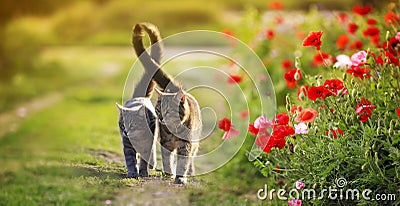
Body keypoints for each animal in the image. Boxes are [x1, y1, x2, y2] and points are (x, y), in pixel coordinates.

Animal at [115, 25, 162, 178]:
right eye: (122, 125)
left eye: (133, 125)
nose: (126, 132)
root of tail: (140, 97)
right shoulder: (127, 145)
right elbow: (130, 158)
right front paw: (132, 172)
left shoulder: (148, 144)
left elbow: (144, 159)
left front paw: (143, 172)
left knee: (152, 154)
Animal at [133, 22, 202, 185]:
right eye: (158, 110)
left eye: (169, 111)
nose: (161, 118)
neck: (173, 131)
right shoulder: (166, 144)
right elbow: (167, 160)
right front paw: (169, 174)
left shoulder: (186, 145)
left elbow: (183, 162)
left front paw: (180, 177)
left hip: (195, 141)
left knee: (192, 158)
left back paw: (190, 172)